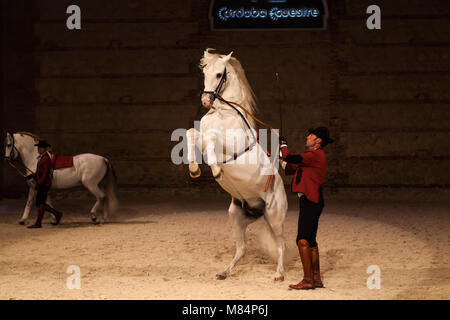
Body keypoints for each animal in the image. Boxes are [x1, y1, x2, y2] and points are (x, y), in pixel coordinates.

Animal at [187, 48, 288, 282]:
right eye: (204, 73)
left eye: (219, 75)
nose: (206, 101)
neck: (223, 113)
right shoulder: (200, 137)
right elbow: (191, 134)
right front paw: (194, 169)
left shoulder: (231, 145)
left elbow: (212, 140)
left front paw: (216, 170)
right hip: (237, 216)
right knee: (242, 249)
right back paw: (224, 272)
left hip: (275, 217)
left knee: (281, 244)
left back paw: (278, 274)